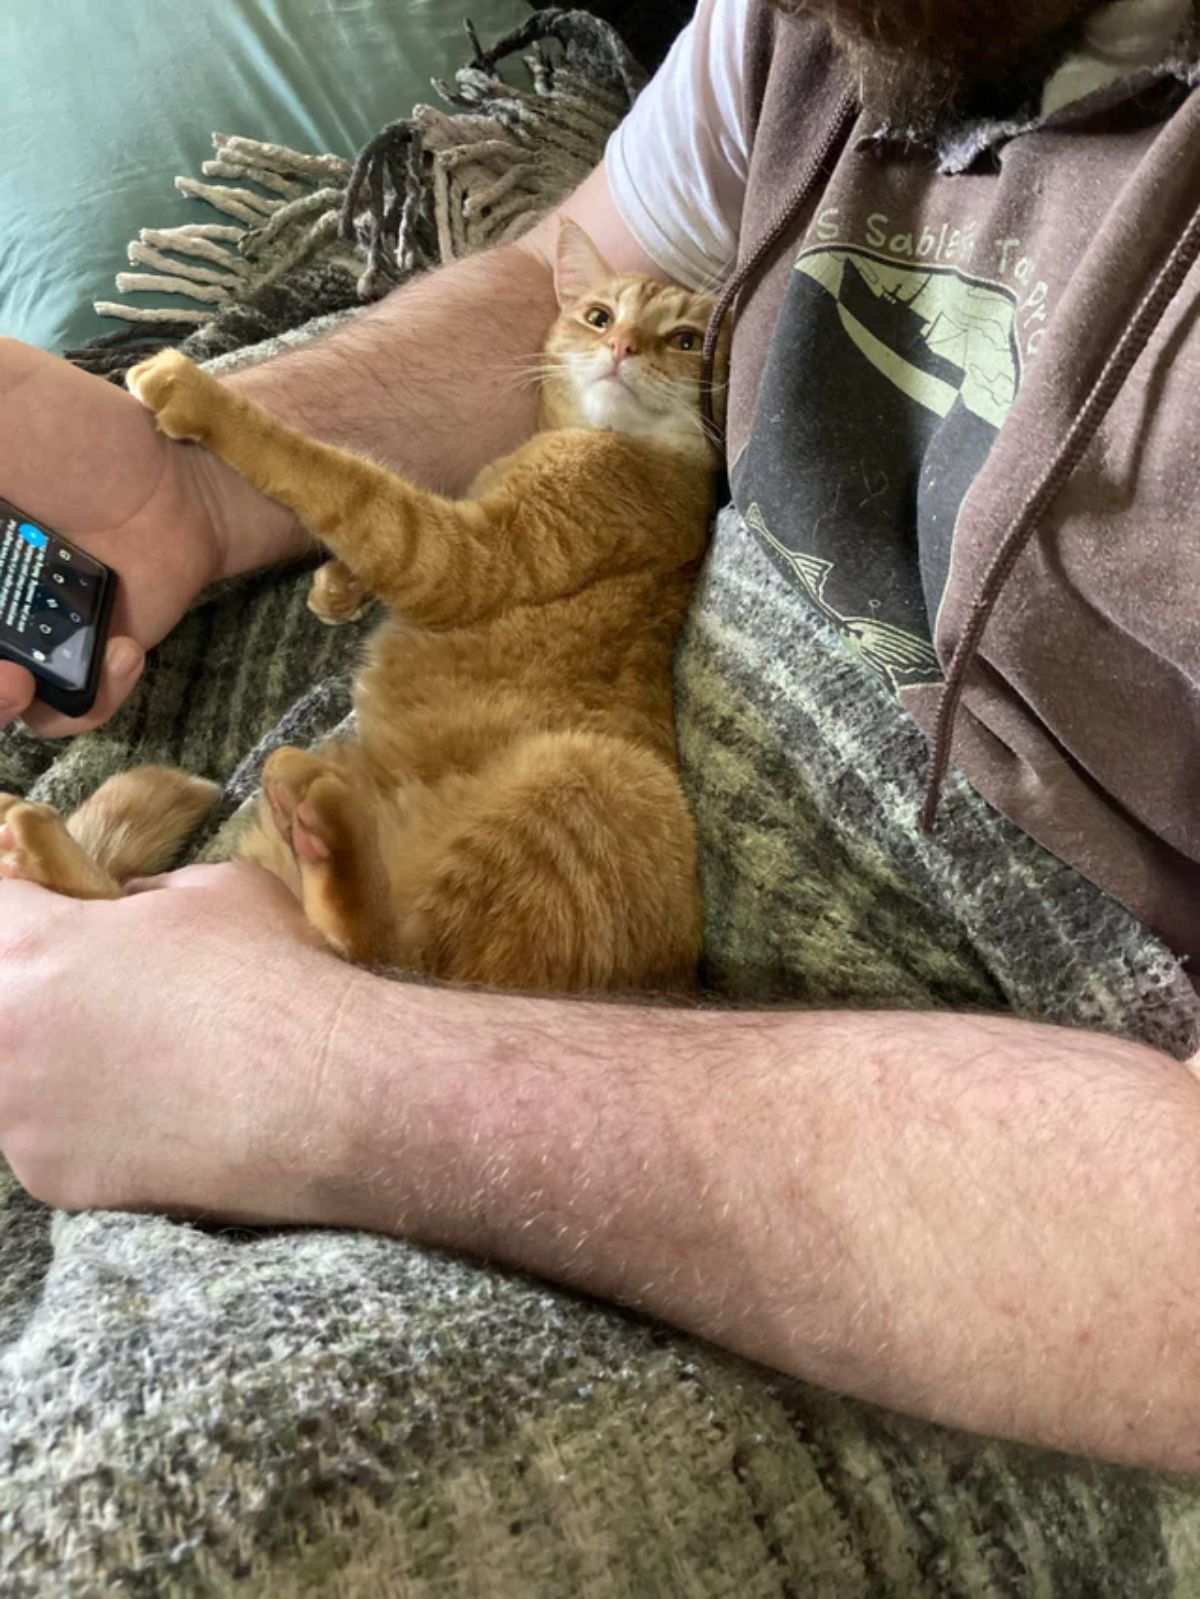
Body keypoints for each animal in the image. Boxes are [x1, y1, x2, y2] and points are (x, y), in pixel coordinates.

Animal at [0, 225, 729, 991]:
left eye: (684, 340)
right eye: (598, 317)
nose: (622, 348)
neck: (613, 441)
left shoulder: (461, 553)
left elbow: (336, 476)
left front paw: (199, 396)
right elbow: (370, 516)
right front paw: (338, 587)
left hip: (594, 779)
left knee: (387, 951)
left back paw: (321, 825)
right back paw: (38, 843)